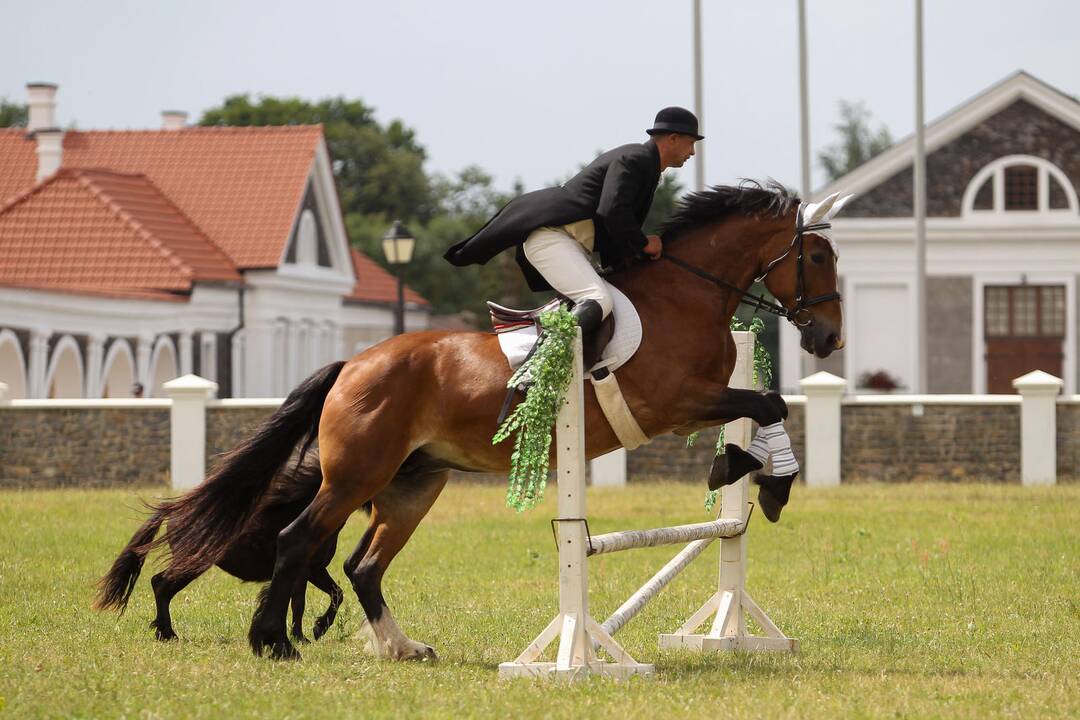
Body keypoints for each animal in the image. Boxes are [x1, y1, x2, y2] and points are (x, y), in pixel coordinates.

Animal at [152, 180, 842, 660]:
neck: (686, 295)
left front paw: (762, 477)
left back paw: (402, 648)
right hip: (356, 477)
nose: (829, 338)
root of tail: (353, 363)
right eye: (815, 255)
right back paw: (273, 642)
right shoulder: (675, 404)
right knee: (297, 540)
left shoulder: (699, 400)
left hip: (414, 484)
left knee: (363, 567)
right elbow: (769, 404)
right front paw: (759, 475)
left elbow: (768, 406)